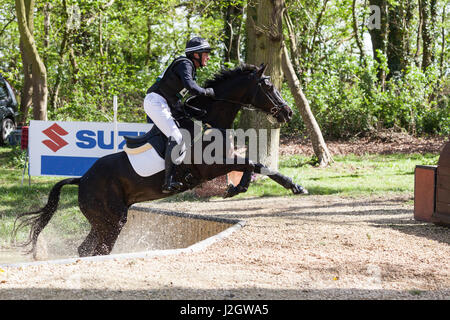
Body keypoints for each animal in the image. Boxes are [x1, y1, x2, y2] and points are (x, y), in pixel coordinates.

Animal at [14, 63, 310, 258]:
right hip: (111, 219)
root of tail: (82, 179)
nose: (287, 112)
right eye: (268, 86)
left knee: (86, 249)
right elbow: (253, 164)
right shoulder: (212, 166)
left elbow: (254, 163)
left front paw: (270, 187)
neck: (211, 120)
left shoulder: (225, 161)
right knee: (98, 249)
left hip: (104, 220)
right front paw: (255, 187)